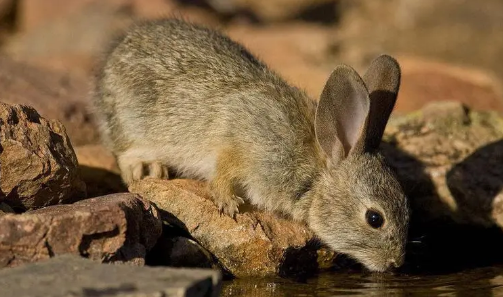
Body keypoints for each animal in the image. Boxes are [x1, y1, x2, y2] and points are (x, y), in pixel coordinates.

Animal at [93, 18, 410, 272]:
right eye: (374, 218)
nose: (396, 264)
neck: (314, 171)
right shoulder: (241, 141)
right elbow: (223, 171)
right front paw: (228, 204)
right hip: (132, 124)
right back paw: (148, 169)